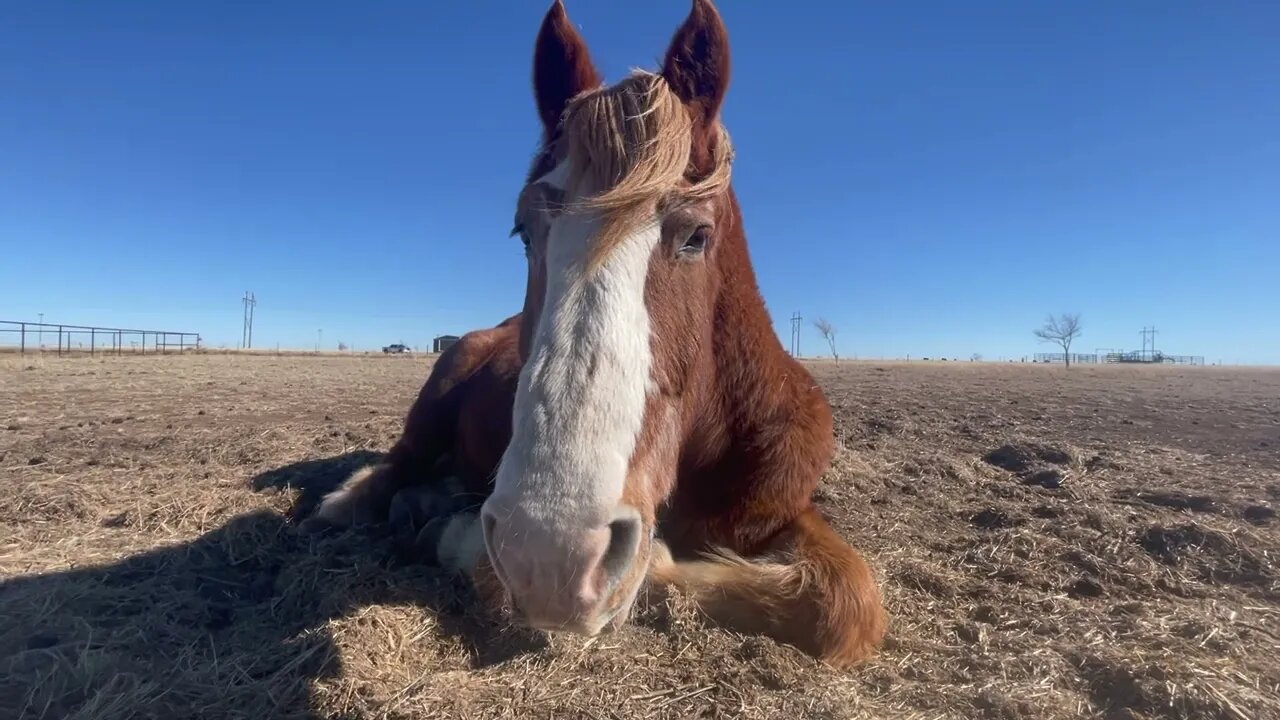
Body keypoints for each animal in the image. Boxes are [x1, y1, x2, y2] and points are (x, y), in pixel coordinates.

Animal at [309, 0, 890, 666]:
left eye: (697, 236)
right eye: (524, 232)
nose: (551, 554)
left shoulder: (779, 509)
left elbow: (847, 602)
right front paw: (454, 532)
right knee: (399, 462)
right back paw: (362, 501)